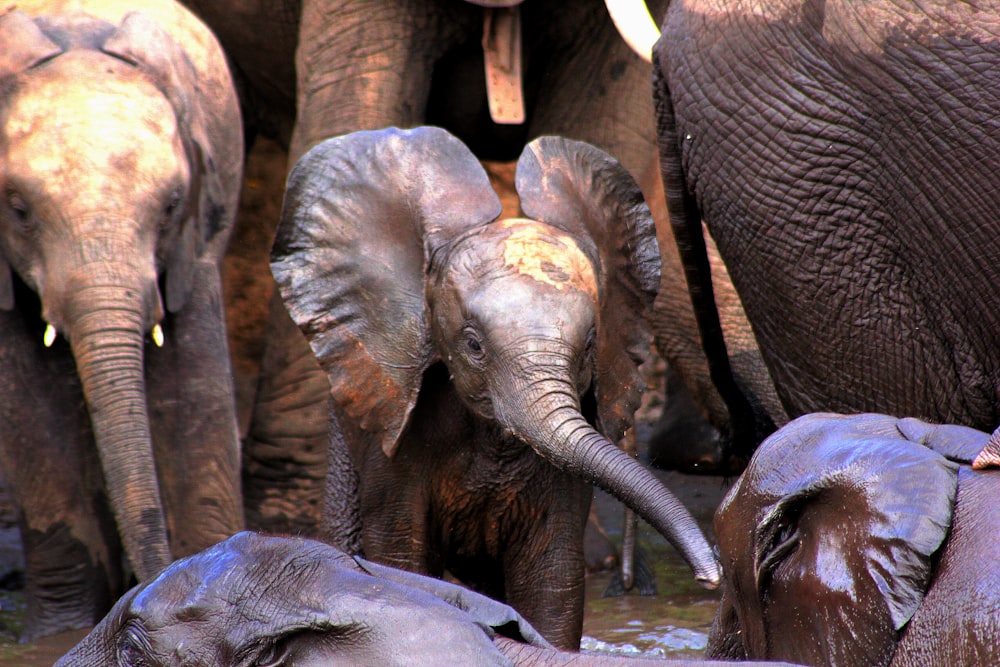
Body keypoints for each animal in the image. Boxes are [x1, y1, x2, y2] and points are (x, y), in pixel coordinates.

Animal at [0, 2, 244, 644]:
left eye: (171, 205)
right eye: (18, 209)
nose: (149, 590)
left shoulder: (193, 245)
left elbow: (193, 393)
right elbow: (30, 408)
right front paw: (59, 635)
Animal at [268, 128, 720, 648]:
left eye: (590, 346)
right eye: (473, 345)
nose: (712, 576)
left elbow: (552, 579)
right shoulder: (394, 443)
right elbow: (401, 557)